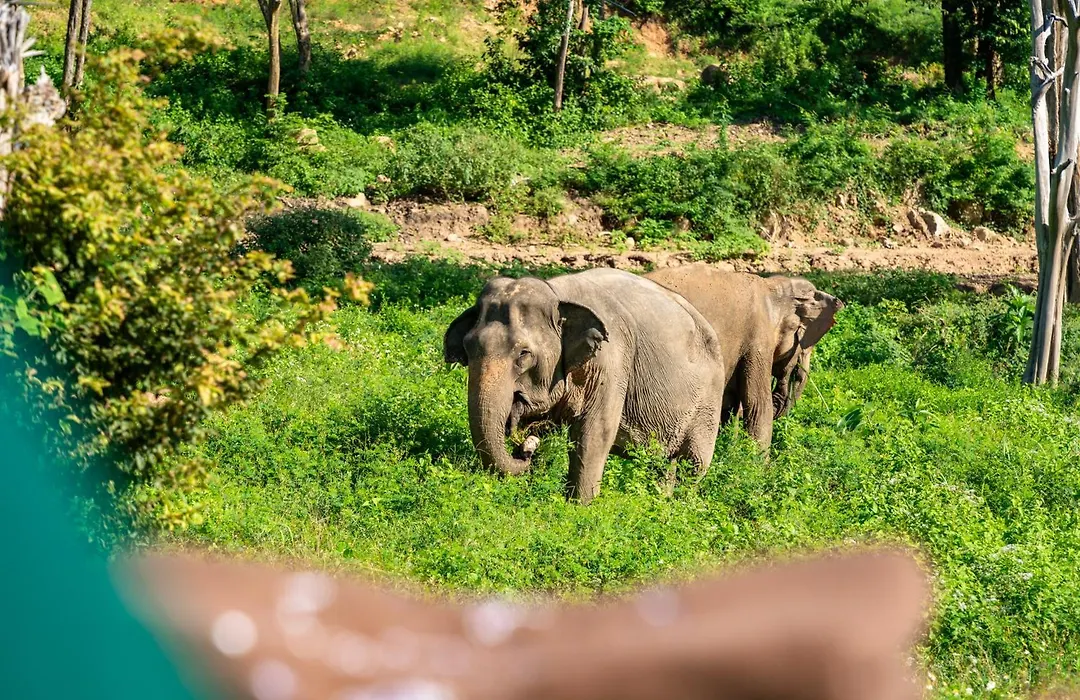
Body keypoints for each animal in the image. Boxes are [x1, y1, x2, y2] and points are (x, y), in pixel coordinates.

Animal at [443, 268, 727, 504]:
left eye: (524, 354)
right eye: (468, 347)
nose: (524, 448)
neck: (556, 293)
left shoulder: (612, 361)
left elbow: (596, 431)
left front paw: (580, 506)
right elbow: (545, 426)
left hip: (708, 400)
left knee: (694, 465)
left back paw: (678, 508)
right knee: (663, 464)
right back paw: (659, 503)